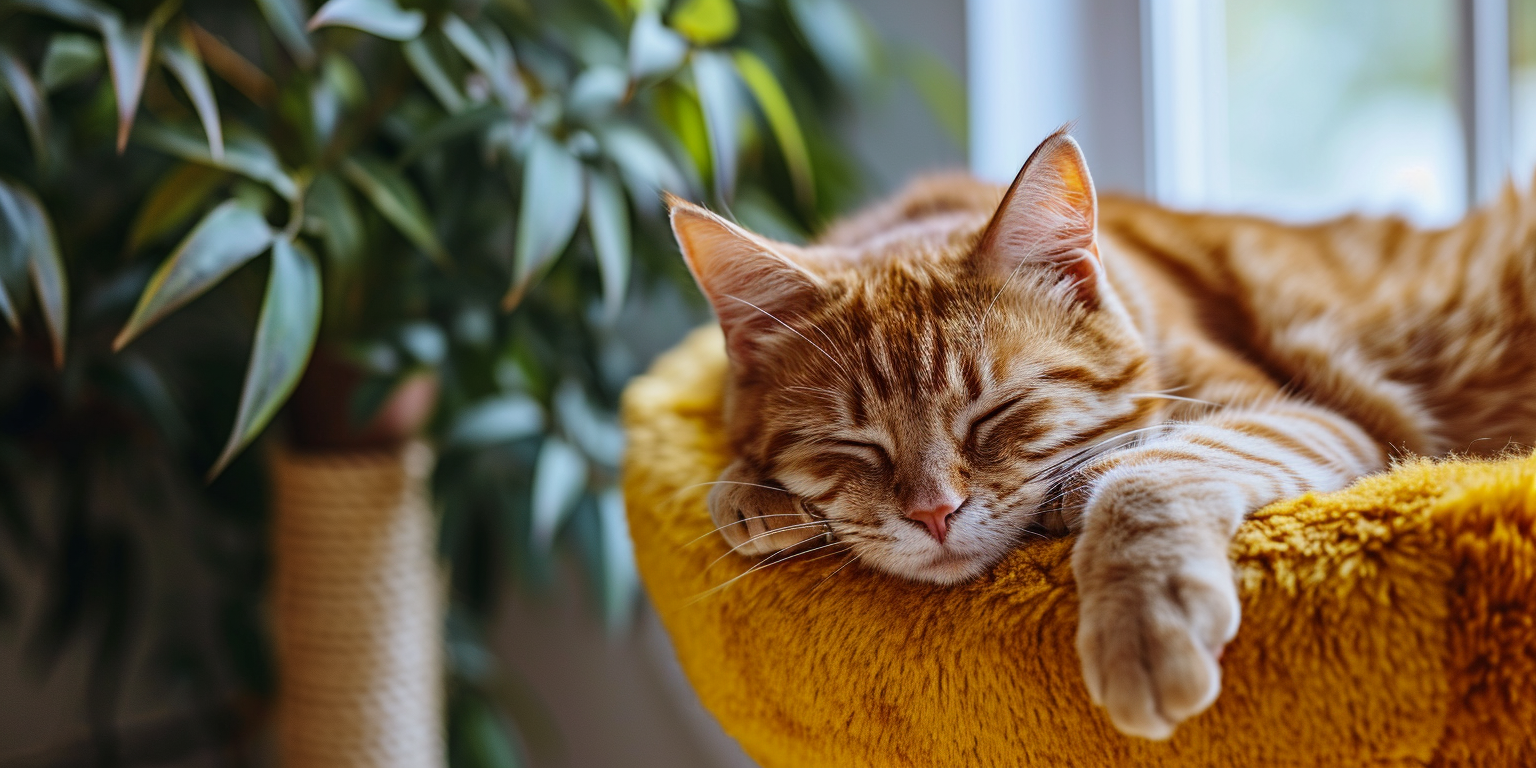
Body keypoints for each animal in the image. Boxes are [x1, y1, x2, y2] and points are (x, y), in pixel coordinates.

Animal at [666, 129, 1536, 740]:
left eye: (996, 414)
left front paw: (1141, 615)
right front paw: (750, 493)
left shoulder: (1314, 418)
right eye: (855, 446)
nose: (934, 513)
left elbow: (1145, 472)